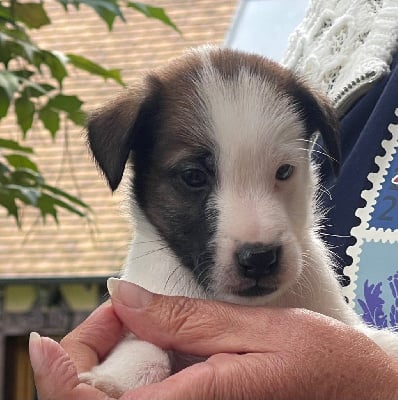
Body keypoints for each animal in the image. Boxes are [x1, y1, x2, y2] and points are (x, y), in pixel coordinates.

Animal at [78, 45, 398, 396]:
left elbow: (375, 341)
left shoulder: (340, 318)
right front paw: (118, 377)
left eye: (284, 171)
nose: (260, 259)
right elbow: (144, 346)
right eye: (193, 176)